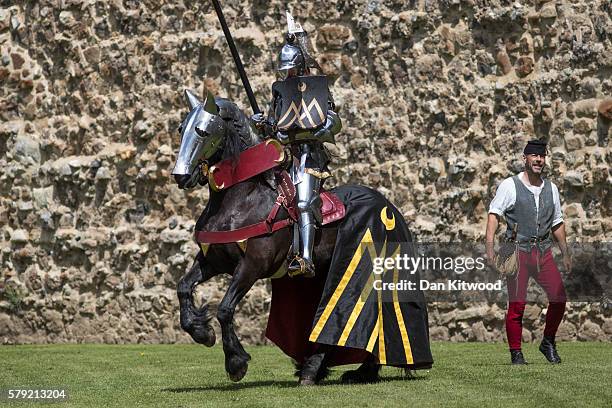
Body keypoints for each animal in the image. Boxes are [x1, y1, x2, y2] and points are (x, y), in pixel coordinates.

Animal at [172, 88, 430, 382]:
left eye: (202, 131)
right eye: (181, 129)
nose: (181, 176)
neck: (240, 198)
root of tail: (388, 206)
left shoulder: (252, 266)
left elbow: (225, 309)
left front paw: (236, 362)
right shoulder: (213, 261)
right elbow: (183, 287)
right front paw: (201, 332)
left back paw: (350, 369)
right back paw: (325, 369)